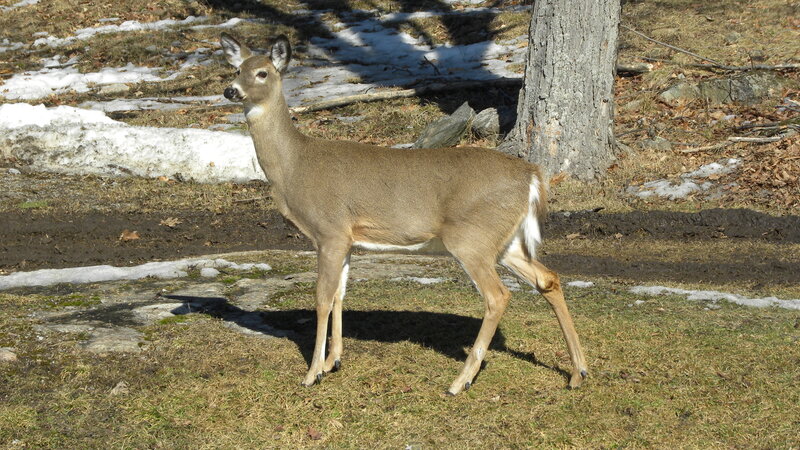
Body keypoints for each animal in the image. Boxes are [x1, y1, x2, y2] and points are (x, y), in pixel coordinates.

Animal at [219, 33, 587, 395]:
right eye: (236, 69)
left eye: (262, 72)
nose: (230, 90)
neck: (294, 167)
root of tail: (533, 176)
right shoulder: (347, 239)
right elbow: (339, 294)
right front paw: (333, 361)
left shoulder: (330, 230)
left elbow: (322, 298)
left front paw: (312, 374)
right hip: (503, 240)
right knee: (548, 279)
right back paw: (577, 372)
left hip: (470, 237)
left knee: (498, 296)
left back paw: (460, 381)